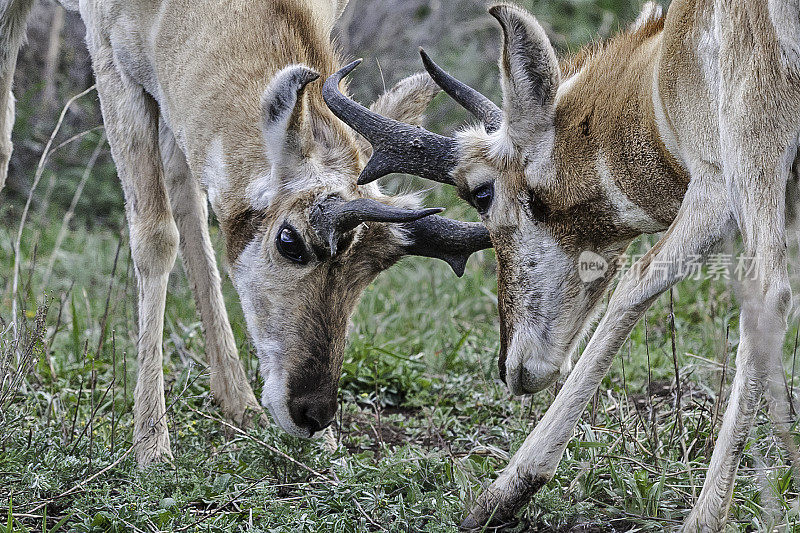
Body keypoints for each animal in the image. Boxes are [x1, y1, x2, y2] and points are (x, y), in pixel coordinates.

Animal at [1, 0, 494, 466]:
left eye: (378, 265)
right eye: (289, 241)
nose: (313, 413)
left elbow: (190, 203)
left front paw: (257, 413)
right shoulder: (112, 60)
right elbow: (156, 236)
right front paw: (152, 445)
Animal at [324, 0, 800, 528]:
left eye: (481, 193)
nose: (510, 367)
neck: (663, 63)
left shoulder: (715, 188)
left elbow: (634, 289)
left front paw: (501, 494)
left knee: (769, 296)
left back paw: (701, 518)